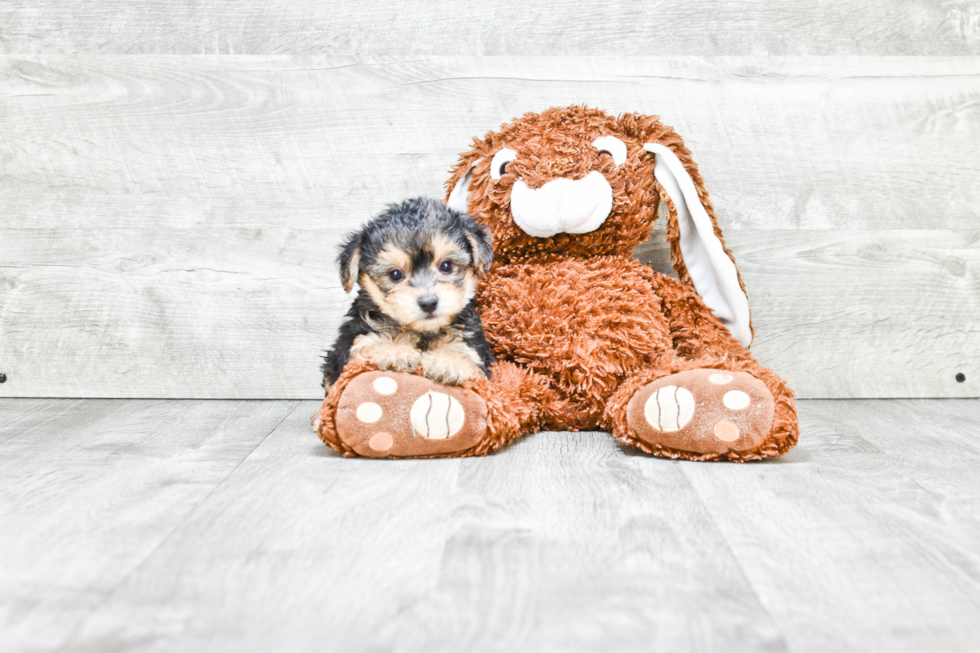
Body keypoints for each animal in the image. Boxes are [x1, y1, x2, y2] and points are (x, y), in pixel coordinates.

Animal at [320, 197, 494, 392]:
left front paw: (447, 362)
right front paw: (396, 350)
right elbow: (368, 344)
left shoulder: (473, 345)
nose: (428, 302)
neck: (421, 331)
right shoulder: (353, 343)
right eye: (395, 274)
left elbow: (466, 353)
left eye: (446, 266)